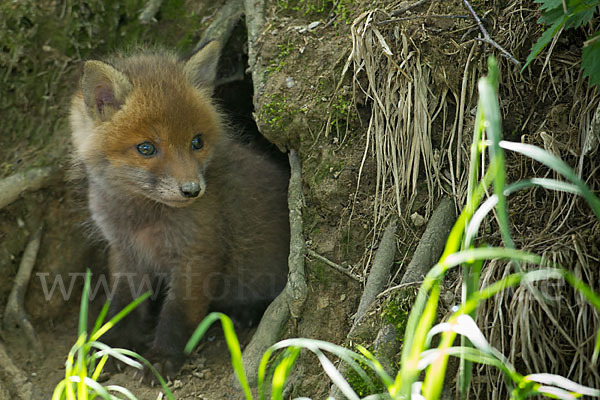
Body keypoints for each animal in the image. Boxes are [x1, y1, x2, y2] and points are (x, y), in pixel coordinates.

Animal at [70, 42, 290, 380]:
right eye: (146, 148)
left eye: (197, 142)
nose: (191, 190)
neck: (143, 220)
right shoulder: (125, 251)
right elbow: (122, 305)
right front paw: (111, 349)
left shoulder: (197, 254)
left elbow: (177, 314)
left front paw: (162, 357)